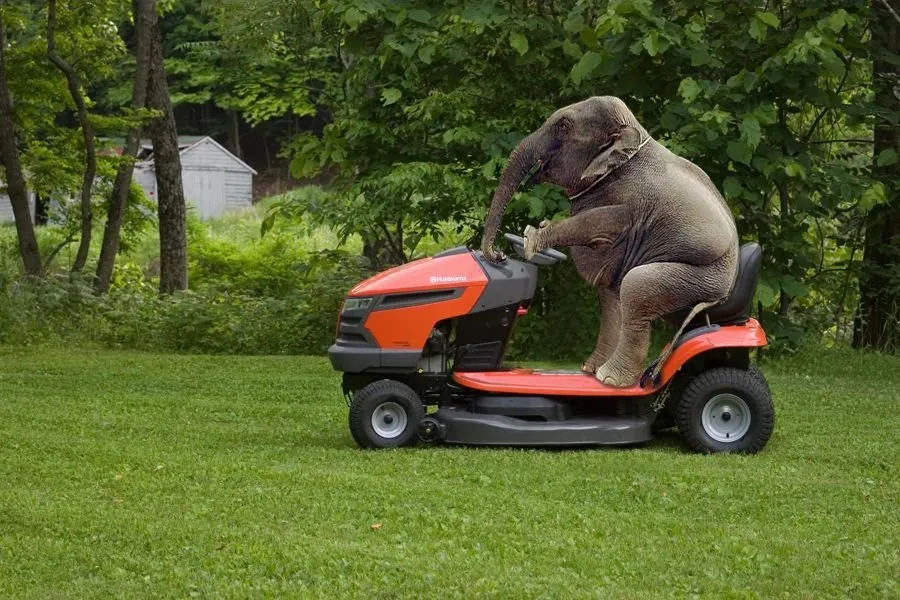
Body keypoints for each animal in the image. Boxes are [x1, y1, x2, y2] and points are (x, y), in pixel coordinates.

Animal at [481, 96, 738, 388]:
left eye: (563, 126)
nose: (499, 255)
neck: (635, 134)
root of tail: (725, 293)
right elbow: (606, 282)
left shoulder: (632, 204)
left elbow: (598, 221)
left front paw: (529, 239)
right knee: (615, 294)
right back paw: (595, 370)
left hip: (701, 277)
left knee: (636, 287)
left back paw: (610, 379)